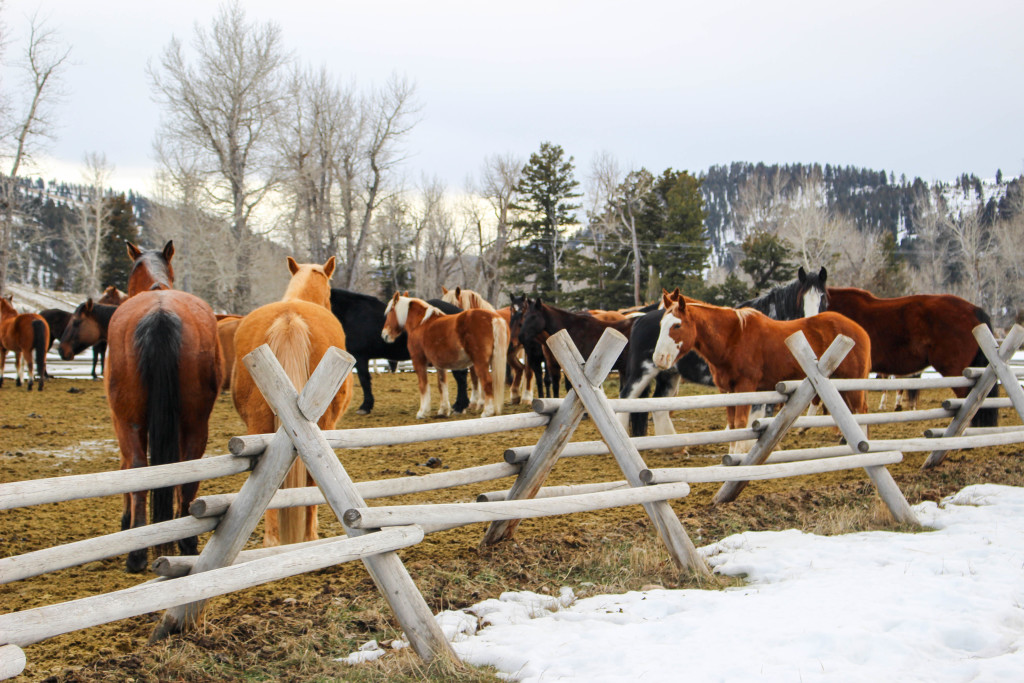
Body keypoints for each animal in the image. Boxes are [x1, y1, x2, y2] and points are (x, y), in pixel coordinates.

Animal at [105, 240, 222, 573]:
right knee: (187, 468)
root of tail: (160, 312)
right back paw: (186, 542)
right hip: (196, 421)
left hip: (130, 420)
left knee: (136, 467)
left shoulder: (119, 421)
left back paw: (137, 553)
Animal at [233, 259, 356, 548]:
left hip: (259, 424)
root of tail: (289, 317)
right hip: (322, 427)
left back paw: (272, 541)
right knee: (312, 481)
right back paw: (309, 536)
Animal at [618, 266, 827, 438]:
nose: (813, 324)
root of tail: (639, 319)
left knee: (659, 407)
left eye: (824, 298)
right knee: (626, 399)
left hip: (669, 374)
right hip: (642, 372)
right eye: (801, 299)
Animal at [655, 290, 872, 454]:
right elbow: (732, 424)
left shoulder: (745, 387)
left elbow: (740, 422)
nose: (659, 358)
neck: (734, 337)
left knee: (860, 410)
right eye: (660, 324)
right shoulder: (726, 390)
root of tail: (860, 330)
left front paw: (737, 455)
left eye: (677, 325)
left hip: (853, 383)